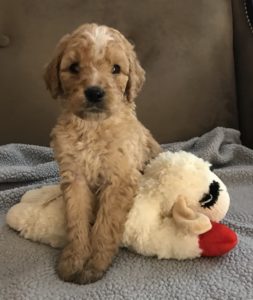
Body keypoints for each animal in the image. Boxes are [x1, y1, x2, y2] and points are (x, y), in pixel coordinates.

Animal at [43, 24, 161, 284]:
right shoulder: (74, 177)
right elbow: (76, 220)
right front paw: (74, 259)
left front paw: (95, 263)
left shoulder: (119, 179)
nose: (95, 93)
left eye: (116, 69)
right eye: (74, 67)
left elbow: (106, 225)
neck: (93, 127)